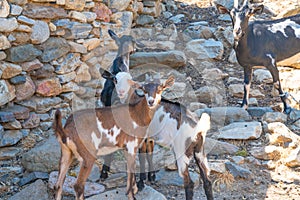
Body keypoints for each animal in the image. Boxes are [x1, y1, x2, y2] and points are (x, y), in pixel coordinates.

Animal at [53, 70, 175, 200]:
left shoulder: (128, 147)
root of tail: (66, 130)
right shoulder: (131, 146)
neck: (137, 114)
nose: (151, 101)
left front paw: (136, 188)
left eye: (160, 89)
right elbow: (130, 174)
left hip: (66, 153)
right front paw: (132, 194)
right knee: (78, 186)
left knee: (58, 184)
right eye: (144, 89)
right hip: (87, 154)